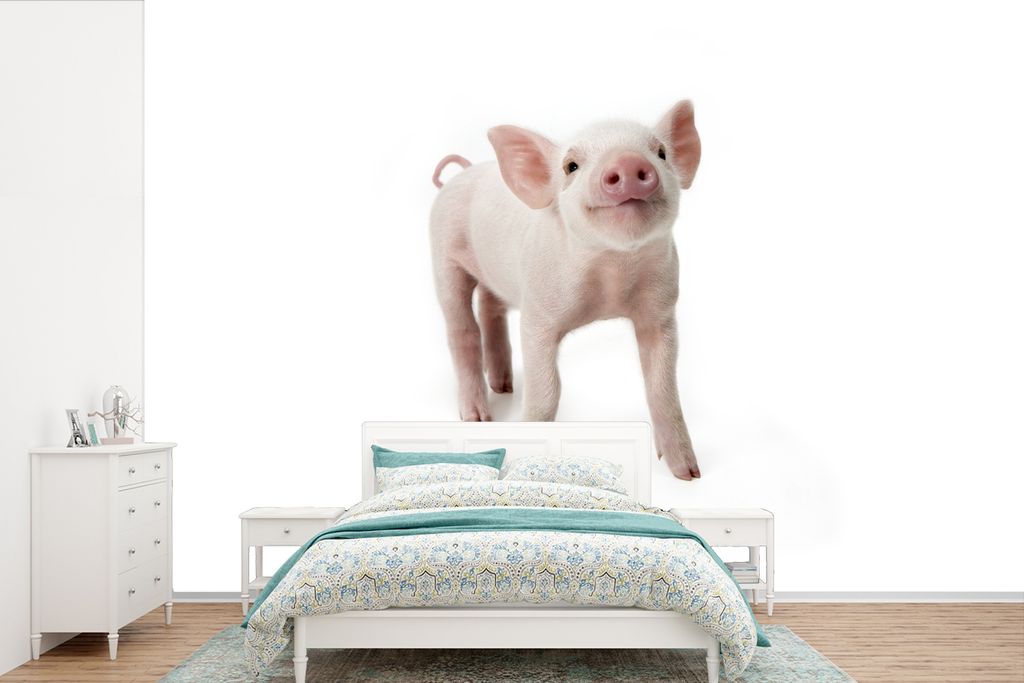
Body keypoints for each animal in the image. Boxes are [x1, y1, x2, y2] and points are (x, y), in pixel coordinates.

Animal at [429, 101, 702, 480]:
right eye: (571, 166)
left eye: (660, 152)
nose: (627, 162)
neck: (612, 274)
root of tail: (464, 171)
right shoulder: (538, 314)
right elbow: (546, 391)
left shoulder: (661, 311)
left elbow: (662, 387)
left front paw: (689, 474)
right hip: (443, 257)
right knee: (461, 330)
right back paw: (478, 417)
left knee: (490, 309)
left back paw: (505, 386)